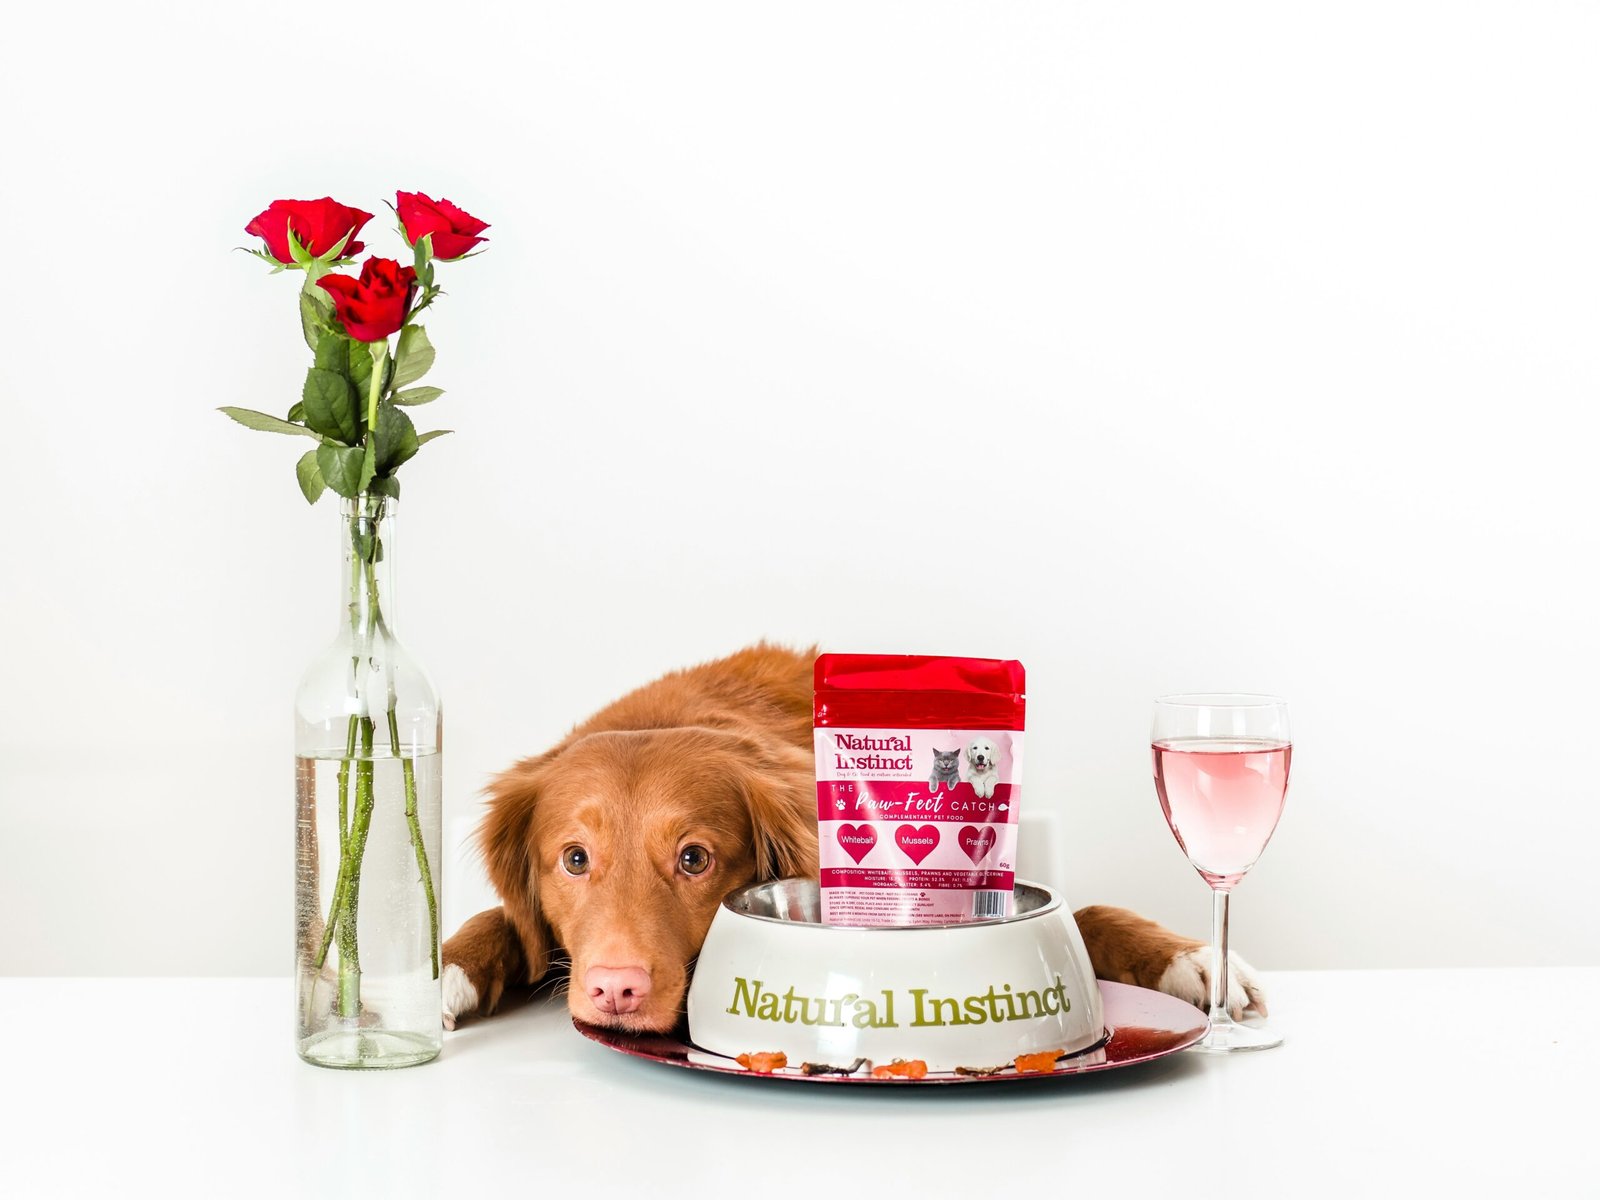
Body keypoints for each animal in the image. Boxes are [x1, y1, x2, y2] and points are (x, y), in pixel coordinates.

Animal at [441, 649, 1260, 1036]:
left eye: (694, 859)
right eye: (574, 859)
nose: (617, 989)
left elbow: (1086, 914)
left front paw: (1195, 960)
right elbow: (498, 923)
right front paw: (439, 975)